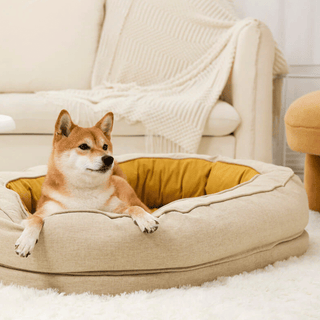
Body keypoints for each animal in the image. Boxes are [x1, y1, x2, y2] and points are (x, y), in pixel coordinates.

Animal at [14, 110, 159, 258]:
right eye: (84, 146)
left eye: (105, 146)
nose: (109, 159)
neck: (85, 190)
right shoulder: (43, 212)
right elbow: (35, 219)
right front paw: (26, 241)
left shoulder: (116, 208)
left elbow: (134, 208)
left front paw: (146, 220)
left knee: (141, 206)